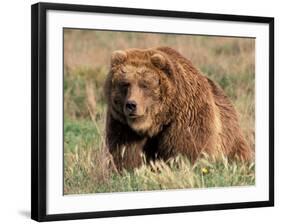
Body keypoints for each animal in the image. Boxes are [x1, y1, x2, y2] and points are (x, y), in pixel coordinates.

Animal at [103, 46, 252, 170]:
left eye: (144, 84)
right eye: (125, 84)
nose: (131, 105)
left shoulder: (187, 116)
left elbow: (187, 151)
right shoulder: (122, 125)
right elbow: (126, 153)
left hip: (230, 137)